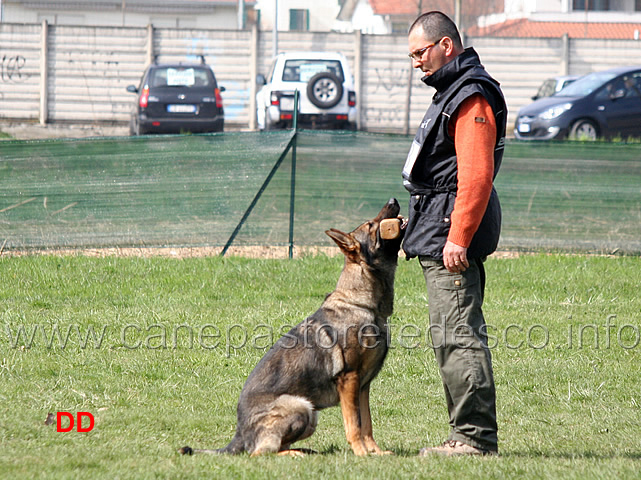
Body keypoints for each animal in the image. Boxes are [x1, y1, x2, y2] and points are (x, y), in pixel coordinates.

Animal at [178, 199, 402, 458]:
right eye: (371, 225)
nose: (393, 201)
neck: (362, 303)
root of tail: (239, 434)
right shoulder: (350, 381)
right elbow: (354, 424)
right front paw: (361, 453)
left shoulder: (363, 386)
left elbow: (367, 423)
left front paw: (375, 452)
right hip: (301, 406)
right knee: (260, 452)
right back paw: (294, 454)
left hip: (311, 414)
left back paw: (304, 450)